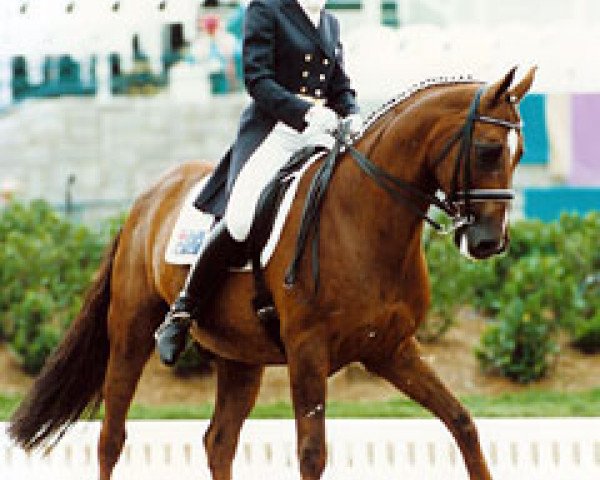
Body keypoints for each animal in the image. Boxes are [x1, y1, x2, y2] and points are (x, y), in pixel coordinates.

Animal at [9, 65, 536, 478]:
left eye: (521, 153)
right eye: (489, 150)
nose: (489, 242)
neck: (364, 220)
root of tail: (148, 196)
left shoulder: (391, 349)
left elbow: (462, 423)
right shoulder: (308, 349)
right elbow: (312, 454)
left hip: (241, 357)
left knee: (218, 441)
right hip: (130, 332)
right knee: (111, 437)